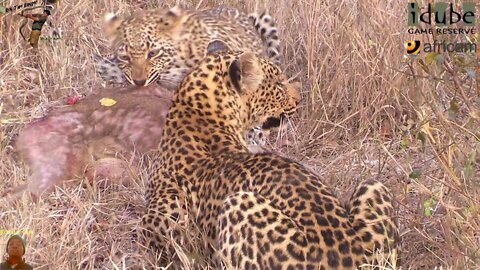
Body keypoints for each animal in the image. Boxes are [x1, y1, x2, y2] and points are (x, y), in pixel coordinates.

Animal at [140, 41, 398, 268]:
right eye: (279, 85)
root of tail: (351, 257)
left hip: (238, 202)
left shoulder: (157, 225)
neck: (198, 113)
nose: (299, 99)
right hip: (373, 186)